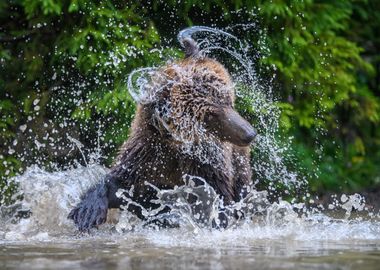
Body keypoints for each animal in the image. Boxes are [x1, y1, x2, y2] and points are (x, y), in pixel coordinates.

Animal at [69, 37, 256, 231]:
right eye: (211, 115)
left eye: (227, 100)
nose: (249, 133)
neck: (175, 145)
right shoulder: (148, 154)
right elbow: (122, 185)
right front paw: (86, 211)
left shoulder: (206, 161)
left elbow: (214, 194)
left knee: (241, 186)